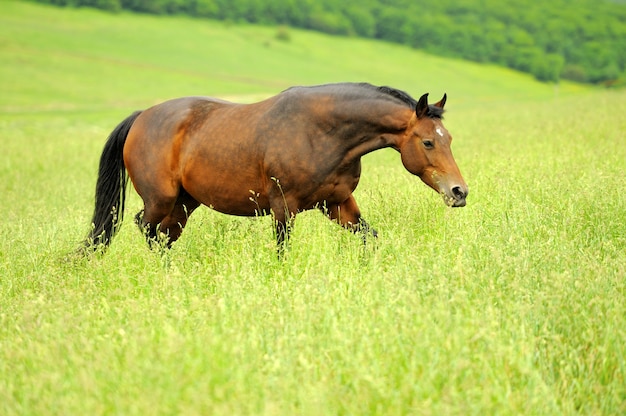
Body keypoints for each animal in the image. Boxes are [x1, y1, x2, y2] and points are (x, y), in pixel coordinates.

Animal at [81, 82, 464, 252]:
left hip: (184, 204)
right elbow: (283, 250)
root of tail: (141, 118)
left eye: (449, 138)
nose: (459, 192)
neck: (323, 132)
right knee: (146, 228)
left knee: (163, 236)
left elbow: (370, 237)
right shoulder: (284, 207)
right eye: (427, 142)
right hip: (159, 199)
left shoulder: (338, 204)